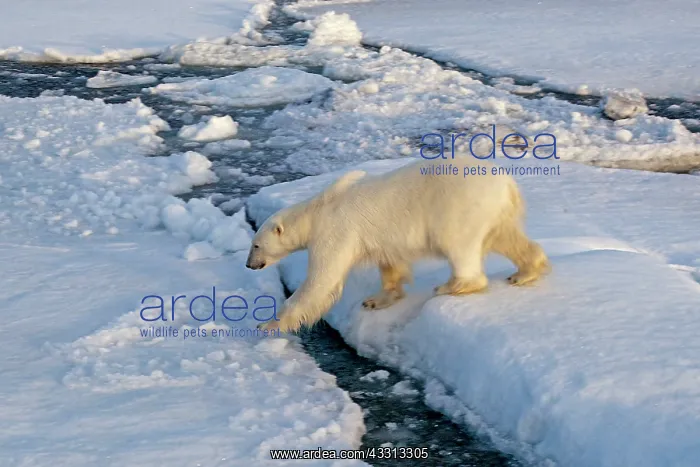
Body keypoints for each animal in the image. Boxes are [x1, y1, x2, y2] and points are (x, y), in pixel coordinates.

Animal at [246, 157, 550, 333]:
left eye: (256, 245)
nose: (249, 265)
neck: (319, 208)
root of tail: (507, 182)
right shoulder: (380, 240)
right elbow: (391, 264)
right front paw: (377, 299)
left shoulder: (335, 231)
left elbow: (322, 280)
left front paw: (268, 324)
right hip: (493, 210)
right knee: (506, 237)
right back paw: (525, 272)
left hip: (460, 207)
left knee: (458, 244)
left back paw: (452, 286)